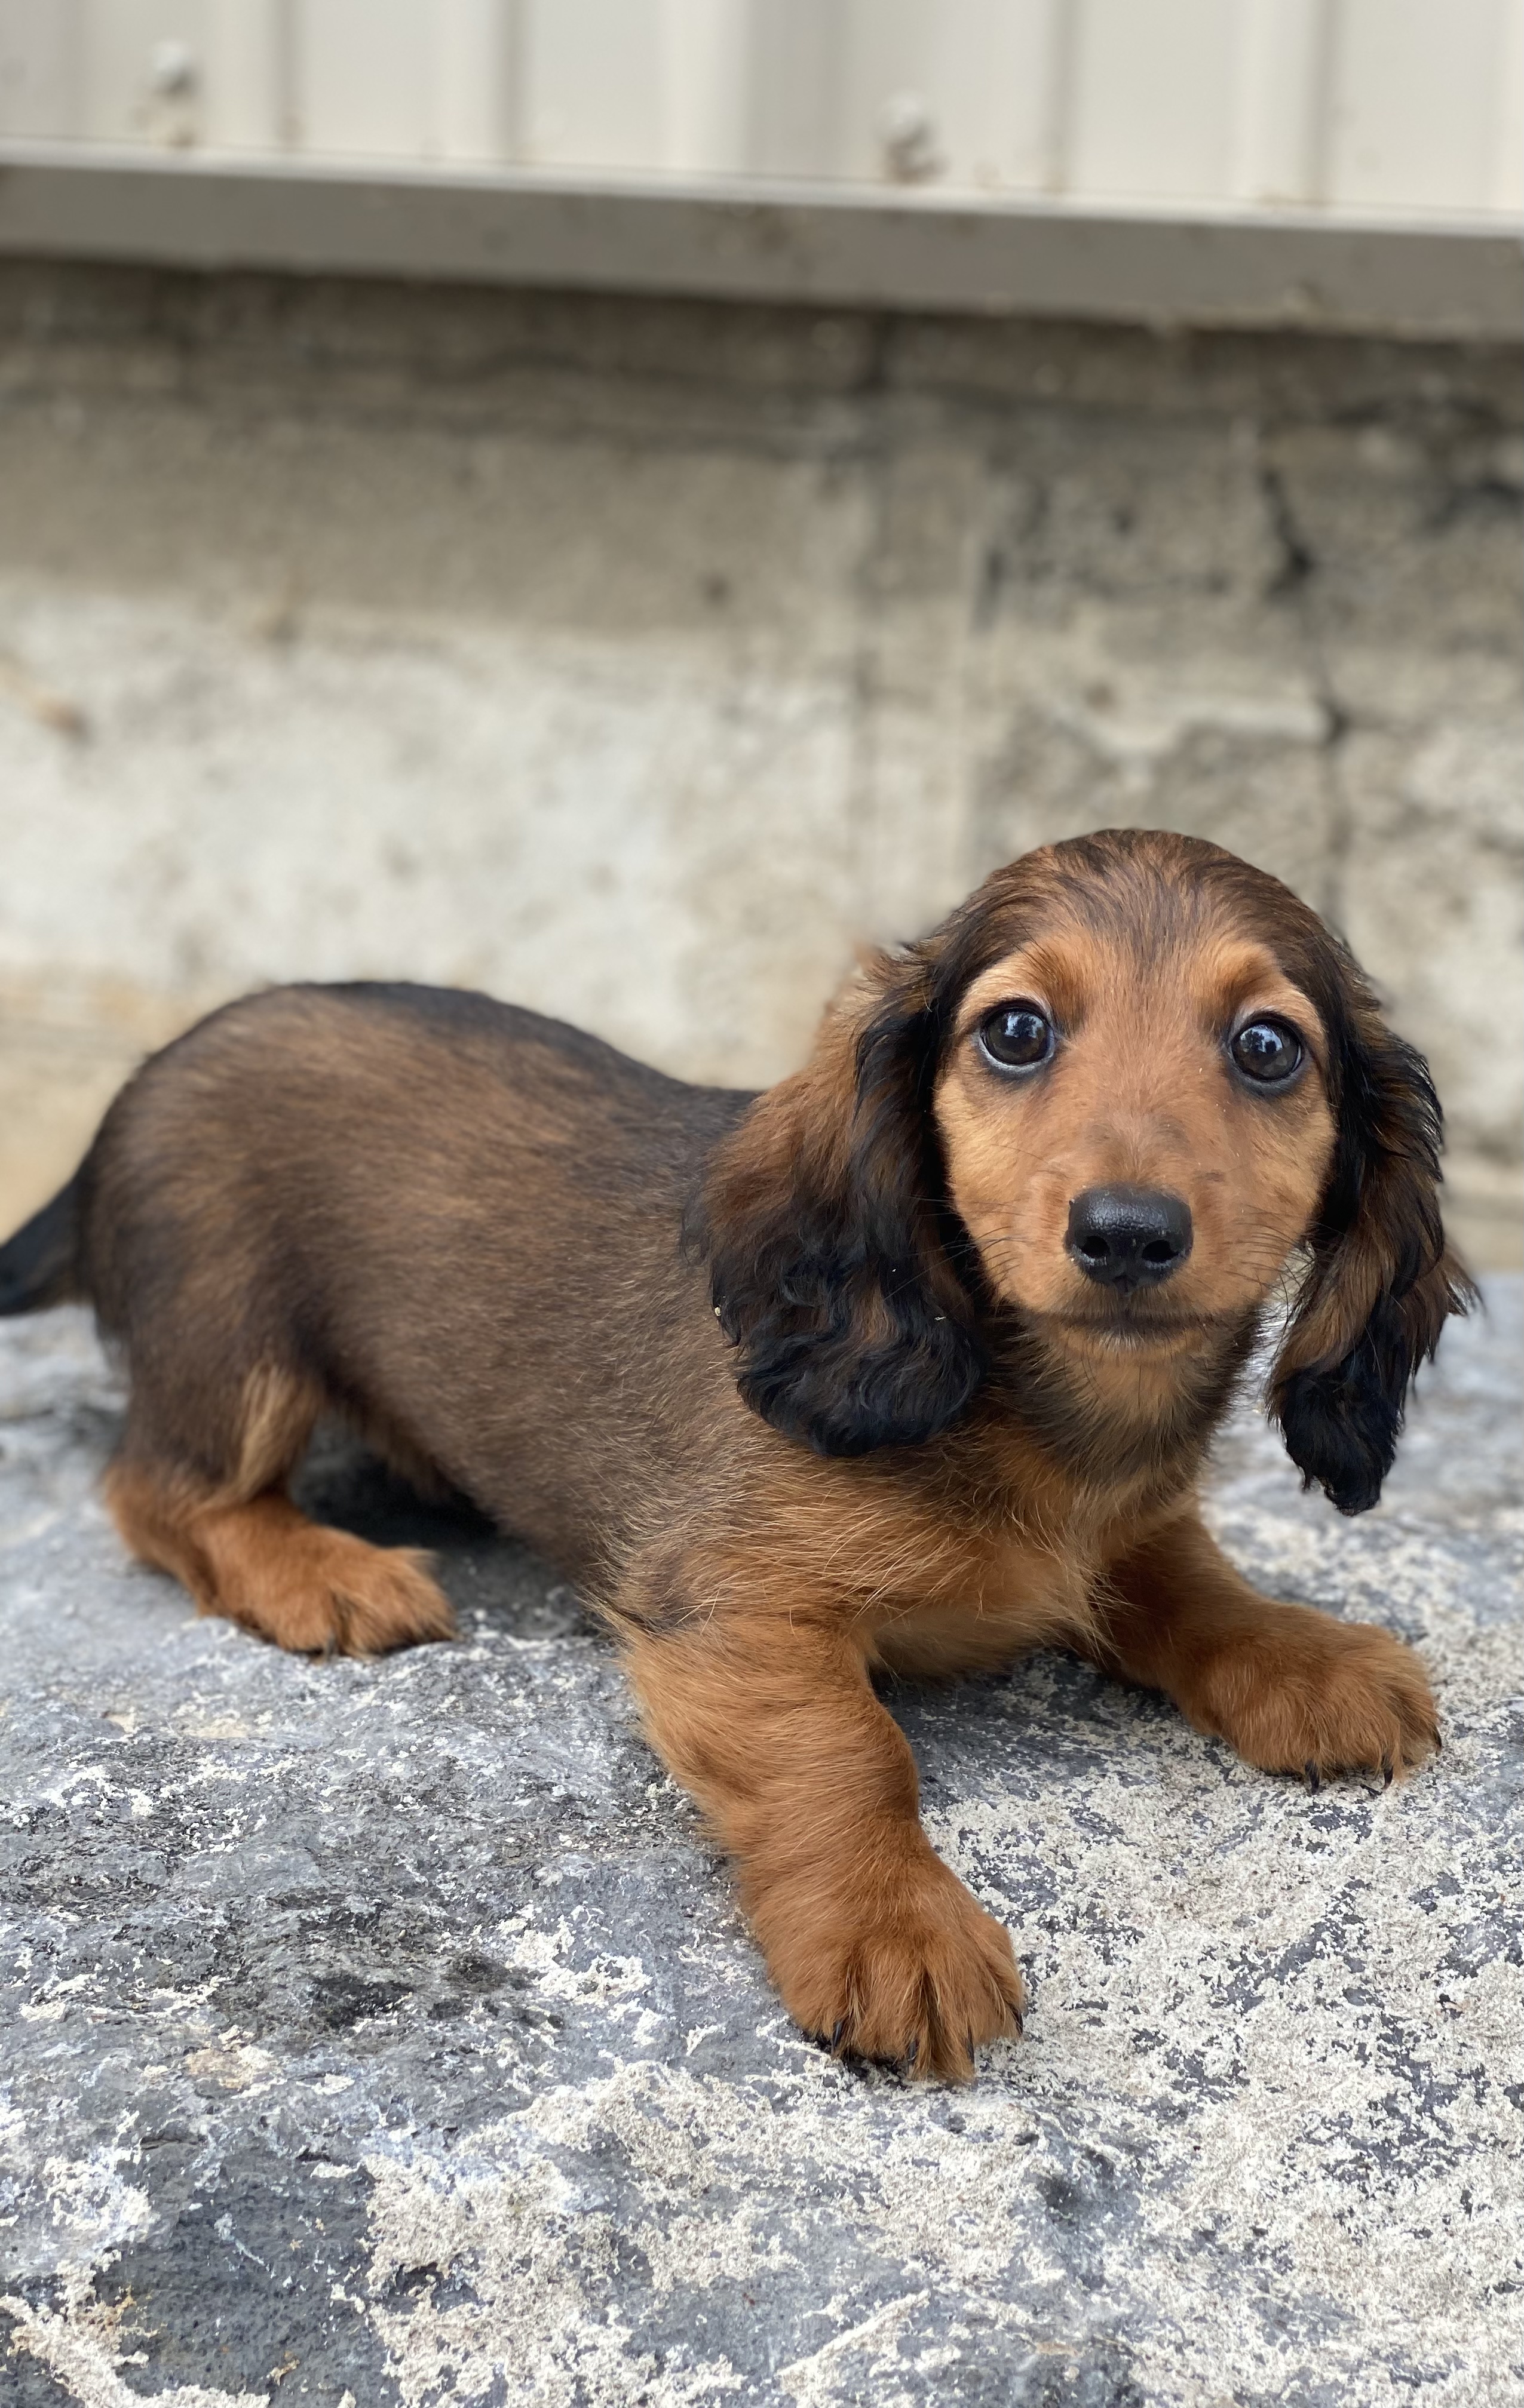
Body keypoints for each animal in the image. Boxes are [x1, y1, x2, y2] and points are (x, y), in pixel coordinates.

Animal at [2, 828, 1473, 2071]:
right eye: (1015, 1031)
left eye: (1269, 1048)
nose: (1125, 1234)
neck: (1045, 1414)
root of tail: (136, 1090)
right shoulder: (733, 1604)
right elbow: (846, 1753)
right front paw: (893, 1925)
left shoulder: (1130, 1530)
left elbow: (1197, 1584)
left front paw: (1302, 1652)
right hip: (232, 1335)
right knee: (159, 1492)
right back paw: (321, 1570)